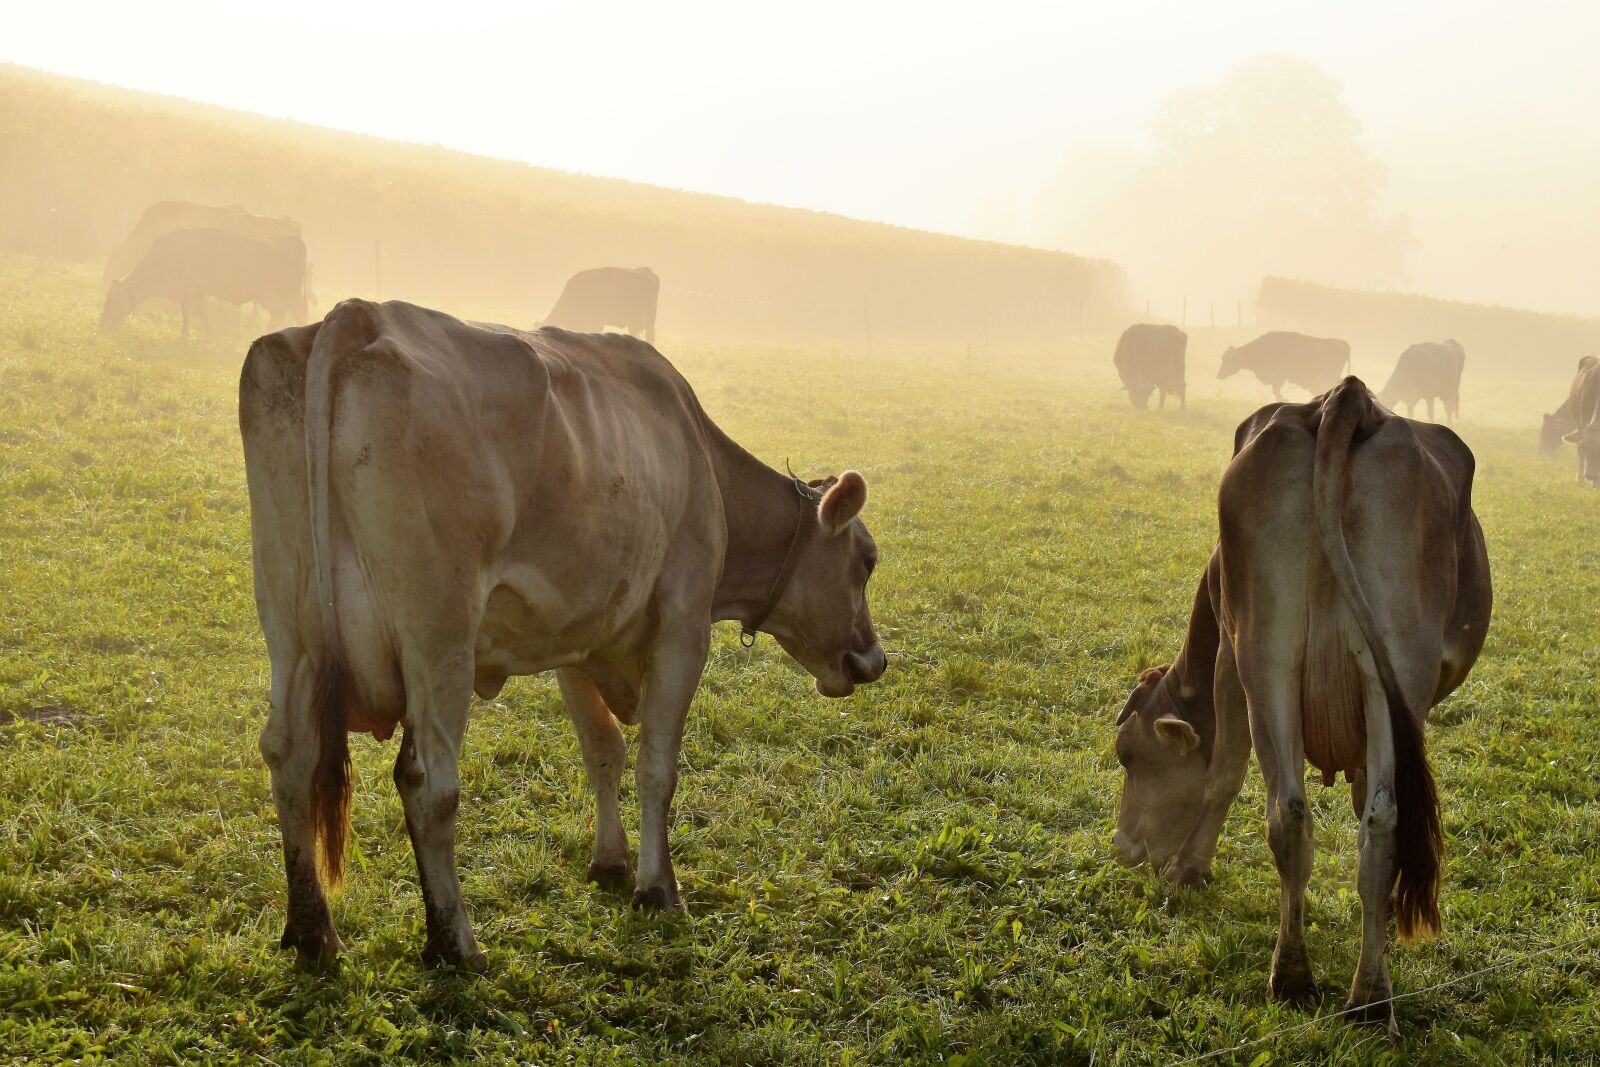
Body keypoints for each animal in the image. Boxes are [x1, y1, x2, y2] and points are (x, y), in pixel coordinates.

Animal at [101, 228, 309, 340]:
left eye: (111, 300)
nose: (101, 322)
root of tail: (292, 240)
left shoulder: (190, 289)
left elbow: (188, 313)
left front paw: (183, 337)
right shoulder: (194, 292)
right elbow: (204, 311)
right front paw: (210, 332)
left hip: (292, 294)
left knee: (301, 314)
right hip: (270, 296)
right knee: (277, 315)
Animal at [239, 299, 886, 970]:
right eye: (867, 561)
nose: (872, 659)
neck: (699, 458)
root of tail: (360, 314)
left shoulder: (578, 634)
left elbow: (603, 750)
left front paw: (611, 861)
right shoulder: (682, 631)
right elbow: (657, 765)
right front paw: (658, 888)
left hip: (290, 627)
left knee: (289, 756)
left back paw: (313, 931)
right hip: (439, 636)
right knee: (427, 781)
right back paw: (456, 943)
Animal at [1112, 377, 1491, 1029]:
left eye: (1130, 756)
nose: (1122, 846)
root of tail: (1345, 399)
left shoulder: (1227, 656)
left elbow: (1224, 774)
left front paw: (1189, 869)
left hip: (1268, 656)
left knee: (1306, 812)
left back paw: (1322, 984)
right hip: (1342, 667)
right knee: (1356, 818)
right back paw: (1355, 993)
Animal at [1219, 332, 1351, 400]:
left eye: (1229, 360)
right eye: (1223, 358)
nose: (1219, 374)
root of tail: (1342, 343)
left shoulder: (1278, 378)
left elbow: (1276, 392)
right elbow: (1276, 392)